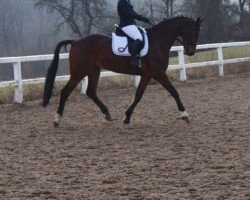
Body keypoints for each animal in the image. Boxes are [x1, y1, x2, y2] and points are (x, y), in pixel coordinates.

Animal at [42, 16, 203, 127]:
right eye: (194, 32)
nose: (190, 52)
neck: (158, 41)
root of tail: (75, 41)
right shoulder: (158, 73)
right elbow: (174, 92)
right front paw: (184, 114)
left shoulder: (147, 75)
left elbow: (138, 96)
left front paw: (126, 117)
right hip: (79, 72)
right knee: (65, 91)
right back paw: (57, 120)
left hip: (94, 70)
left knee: (91, 92)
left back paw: (107, 114)